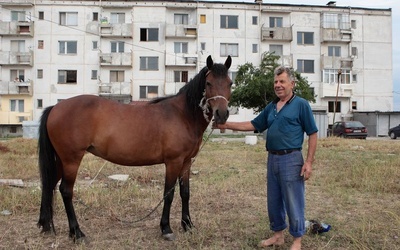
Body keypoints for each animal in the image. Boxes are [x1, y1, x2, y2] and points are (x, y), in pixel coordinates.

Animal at [37, 55, 233, 242]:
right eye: (208, 83)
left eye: (230, 83)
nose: (221, 114)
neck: (182, 114)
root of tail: (56, 107)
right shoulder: (173, 162)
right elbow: (168, 194)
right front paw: (166, 229)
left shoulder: (187, 162)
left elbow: (185, 193)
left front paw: (188, 225)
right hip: (71, 160)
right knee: (66, 191)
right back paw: (76, 233)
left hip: (61, 160)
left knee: (49, 185)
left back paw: (45, 225)